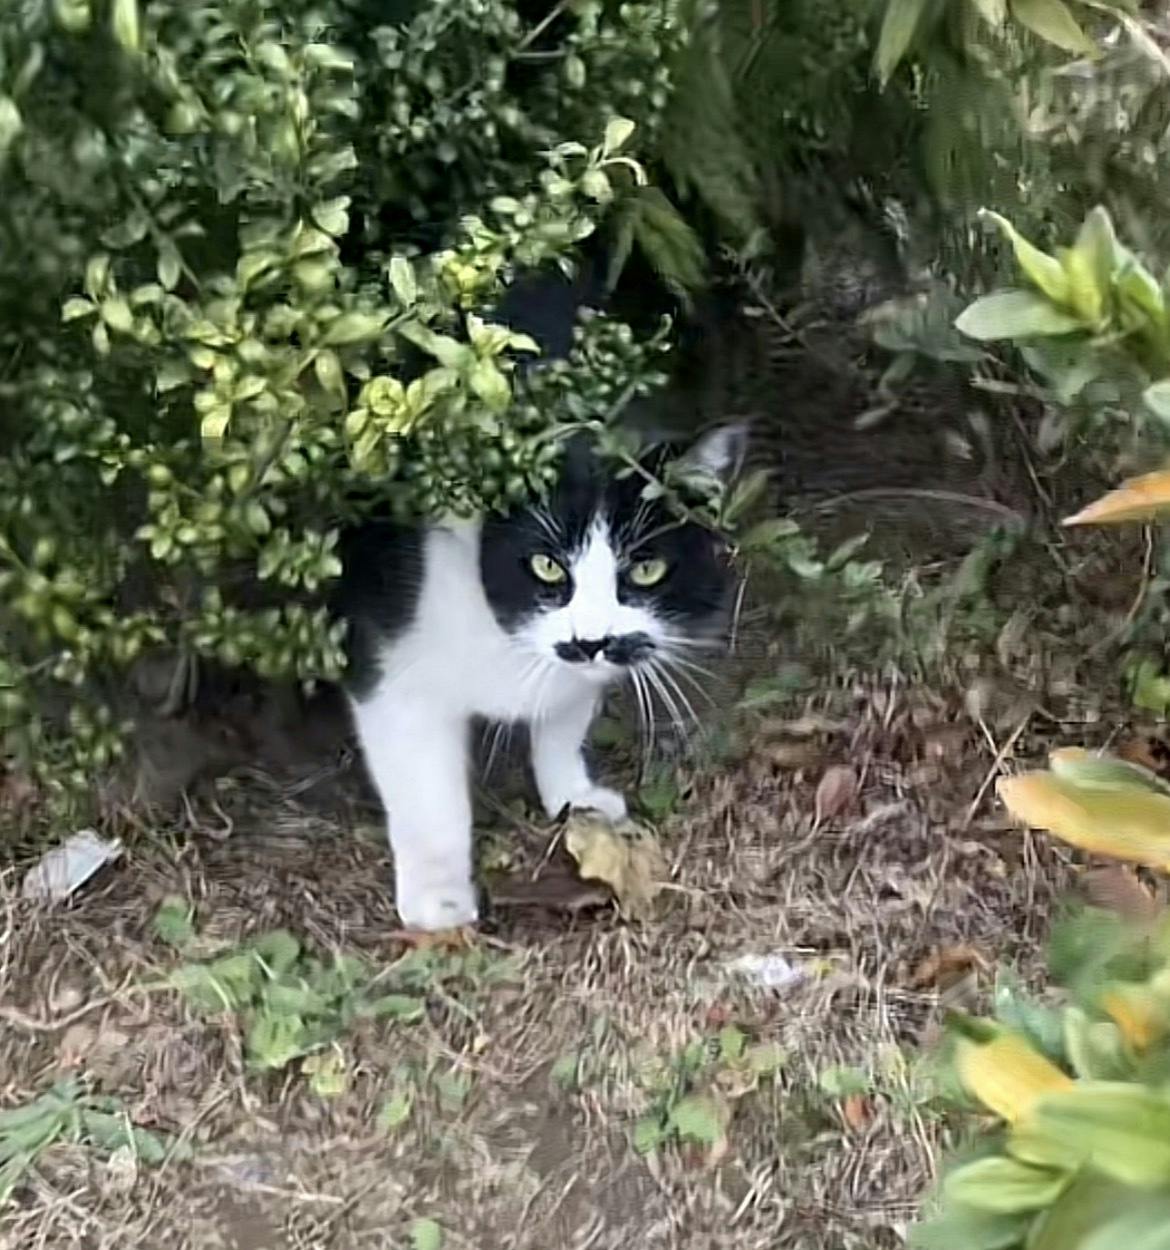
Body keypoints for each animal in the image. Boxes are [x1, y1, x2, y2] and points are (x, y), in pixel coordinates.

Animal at [336, 426, 744, 931]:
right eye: (546, 565)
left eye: (647, 570)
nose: (592, 641)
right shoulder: (394, 674)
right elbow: (428, 795)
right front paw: (438, 897)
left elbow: (563, 725)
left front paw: (575, 798)